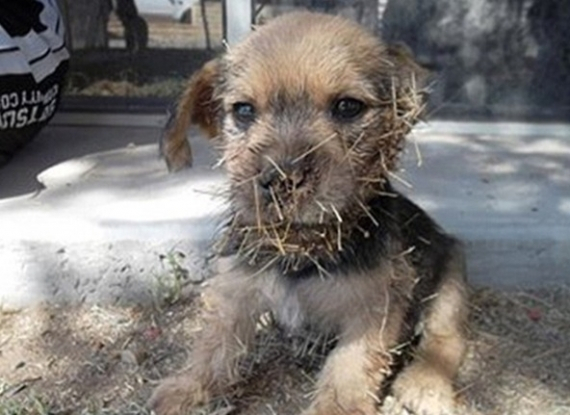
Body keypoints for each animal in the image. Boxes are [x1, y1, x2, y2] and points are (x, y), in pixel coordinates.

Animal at [150, 11, 466, 415]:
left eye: (348, 107)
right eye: (243, 110)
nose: (282, 179)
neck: (300, 251)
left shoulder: (373, 309)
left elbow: (348, 369)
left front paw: (336, 407)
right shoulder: (235, 289)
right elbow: (213, 343)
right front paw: (187, 387)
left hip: (452, 276)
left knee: (446, 338)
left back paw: (425, 384)